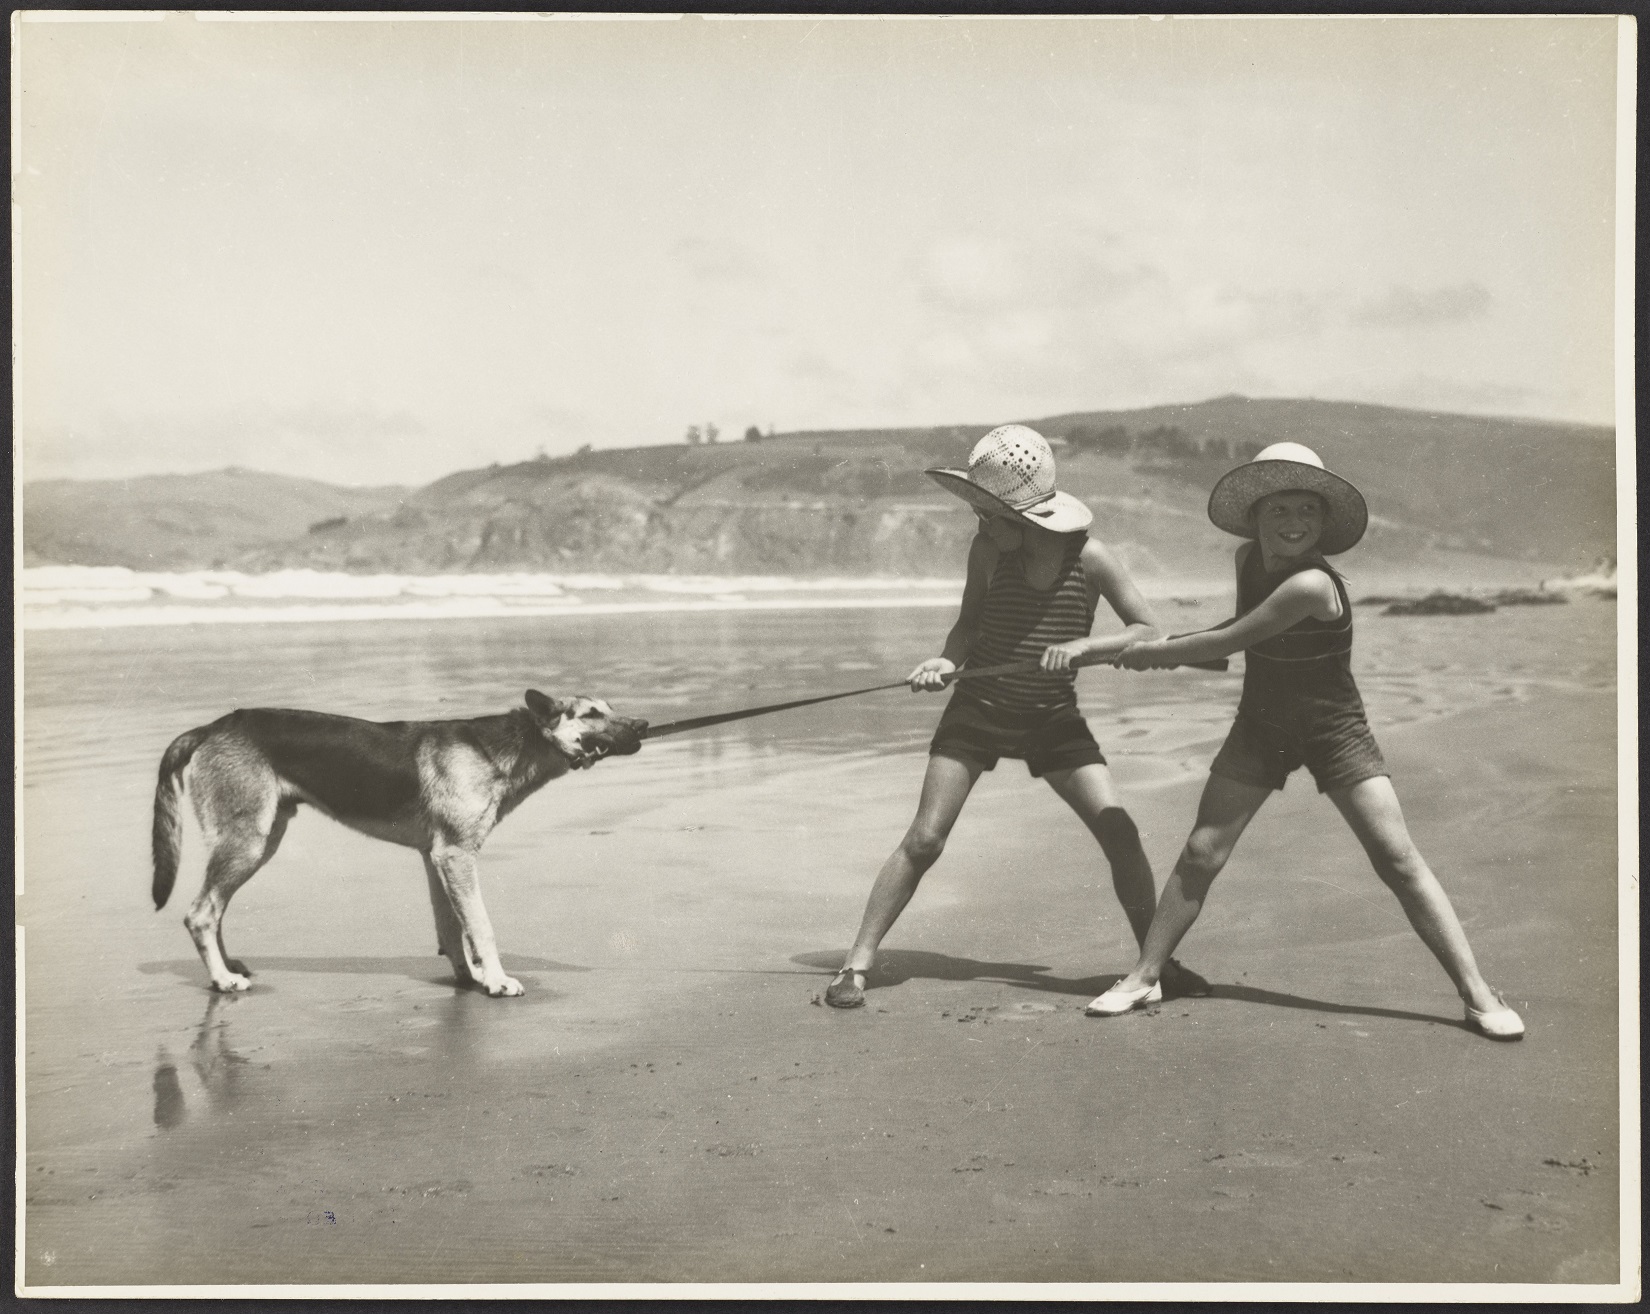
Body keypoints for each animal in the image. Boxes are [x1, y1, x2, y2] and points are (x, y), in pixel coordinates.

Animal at [151, 686, 646, 997]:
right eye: (592, 714)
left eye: (611, 707)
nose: (643, 723)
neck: (506, 747)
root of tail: (212, 727)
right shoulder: (456, 856)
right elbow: (480, 924)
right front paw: (497, 980)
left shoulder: (436, 857)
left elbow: (452, 926)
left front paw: (470, 977)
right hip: (248, 841)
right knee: (201, 913)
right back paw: (222, 980)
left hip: (260, 839)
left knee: (215, 908)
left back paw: (227, 967)